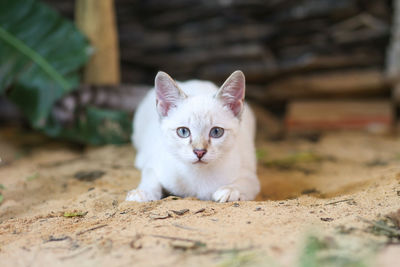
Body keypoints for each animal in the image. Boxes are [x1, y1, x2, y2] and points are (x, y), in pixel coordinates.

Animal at [126, 70, 260, 202]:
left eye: (216, 132)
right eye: (183, 132)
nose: (199, 152)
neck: (198, 176)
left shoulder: (249, 175)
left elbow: (245, 183)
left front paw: (230, 190)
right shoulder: (154, 164)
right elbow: (150, 178)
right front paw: (142, 192)